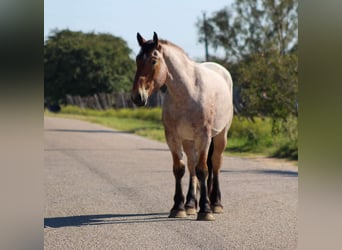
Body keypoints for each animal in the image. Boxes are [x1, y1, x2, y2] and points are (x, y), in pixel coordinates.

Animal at [130, 31, 232, 221]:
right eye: (137, 59)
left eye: (153, 60)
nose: (137, 97)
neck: (189, 92)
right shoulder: (173, 137)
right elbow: (180, 169)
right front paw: (178, 207)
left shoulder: (204, 137)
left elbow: (203, 170)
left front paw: (205, 210)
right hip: (188, 140)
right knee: (191, 166)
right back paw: (191, 204)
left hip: (220, 135)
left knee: (215, 164)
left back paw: (216, 204)